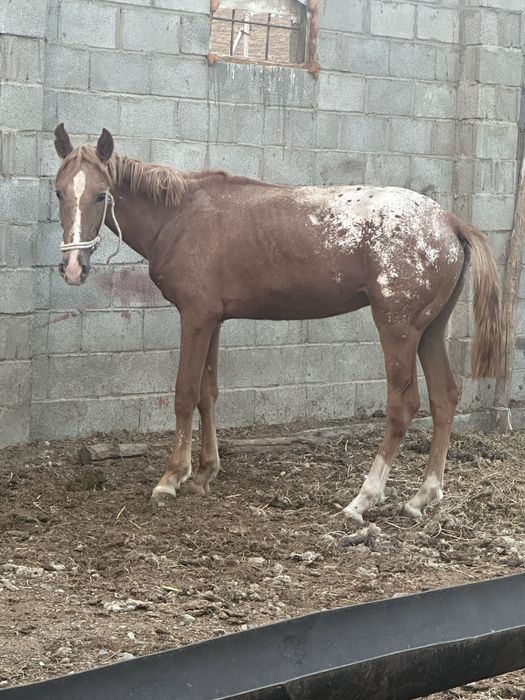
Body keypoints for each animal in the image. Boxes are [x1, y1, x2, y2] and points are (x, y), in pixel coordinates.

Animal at [53, 124, 503, 524]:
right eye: (58, 191)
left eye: (100, 195)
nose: (73, 268)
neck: (181, 215)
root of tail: (449, 222)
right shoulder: (212, 319)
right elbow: (208, 395)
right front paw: (204, 475)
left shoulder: (195, 318)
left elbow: (184, 394)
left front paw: (171, 478)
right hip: (430, 331)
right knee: (445, 397)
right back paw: (422, 497)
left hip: (398, 329)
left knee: (403, 406)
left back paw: (361, 501)